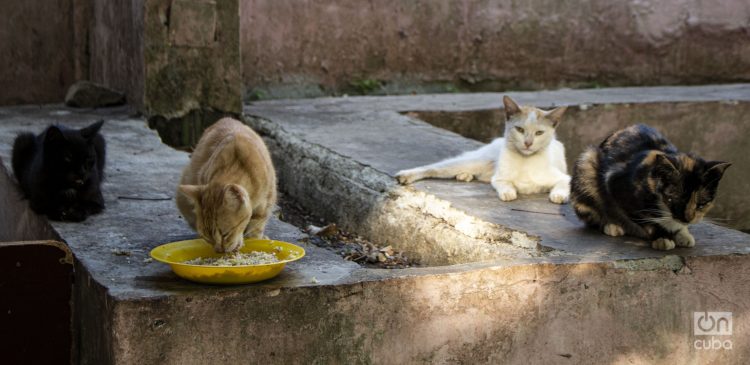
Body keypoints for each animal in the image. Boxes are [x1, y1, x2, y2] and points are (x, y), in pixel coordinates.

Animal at [178, 118, 278, 252]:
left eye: (225, 234)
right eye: (207, 238)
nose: (219, 251)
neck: (236, 164)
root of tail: (225, 118)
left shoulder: (266, 203)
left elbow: (256, 227)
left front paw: (256, 239)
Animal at [400, 95, 568, 203]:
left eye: (539, 133)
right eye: (520, 130)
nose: (528, 143)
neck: (525, 161)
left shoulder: (565, 178)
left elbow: (561, 186)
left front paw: (558, 196)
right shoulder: (499, 178)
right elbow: (505, 184)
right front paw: (509, 193)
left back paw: (464, 176)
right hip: (476, 161)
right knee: (434, 167)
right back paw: (403, 176)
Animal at [572, 123, 732, 249]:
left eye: (702, 204)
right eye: (675, 201)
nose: (687, 219)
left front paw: (682, 233)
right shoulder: (616, 185)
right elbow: (647, 219)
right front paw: (663, 237)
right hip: (587, 164)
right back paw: (612, 225)